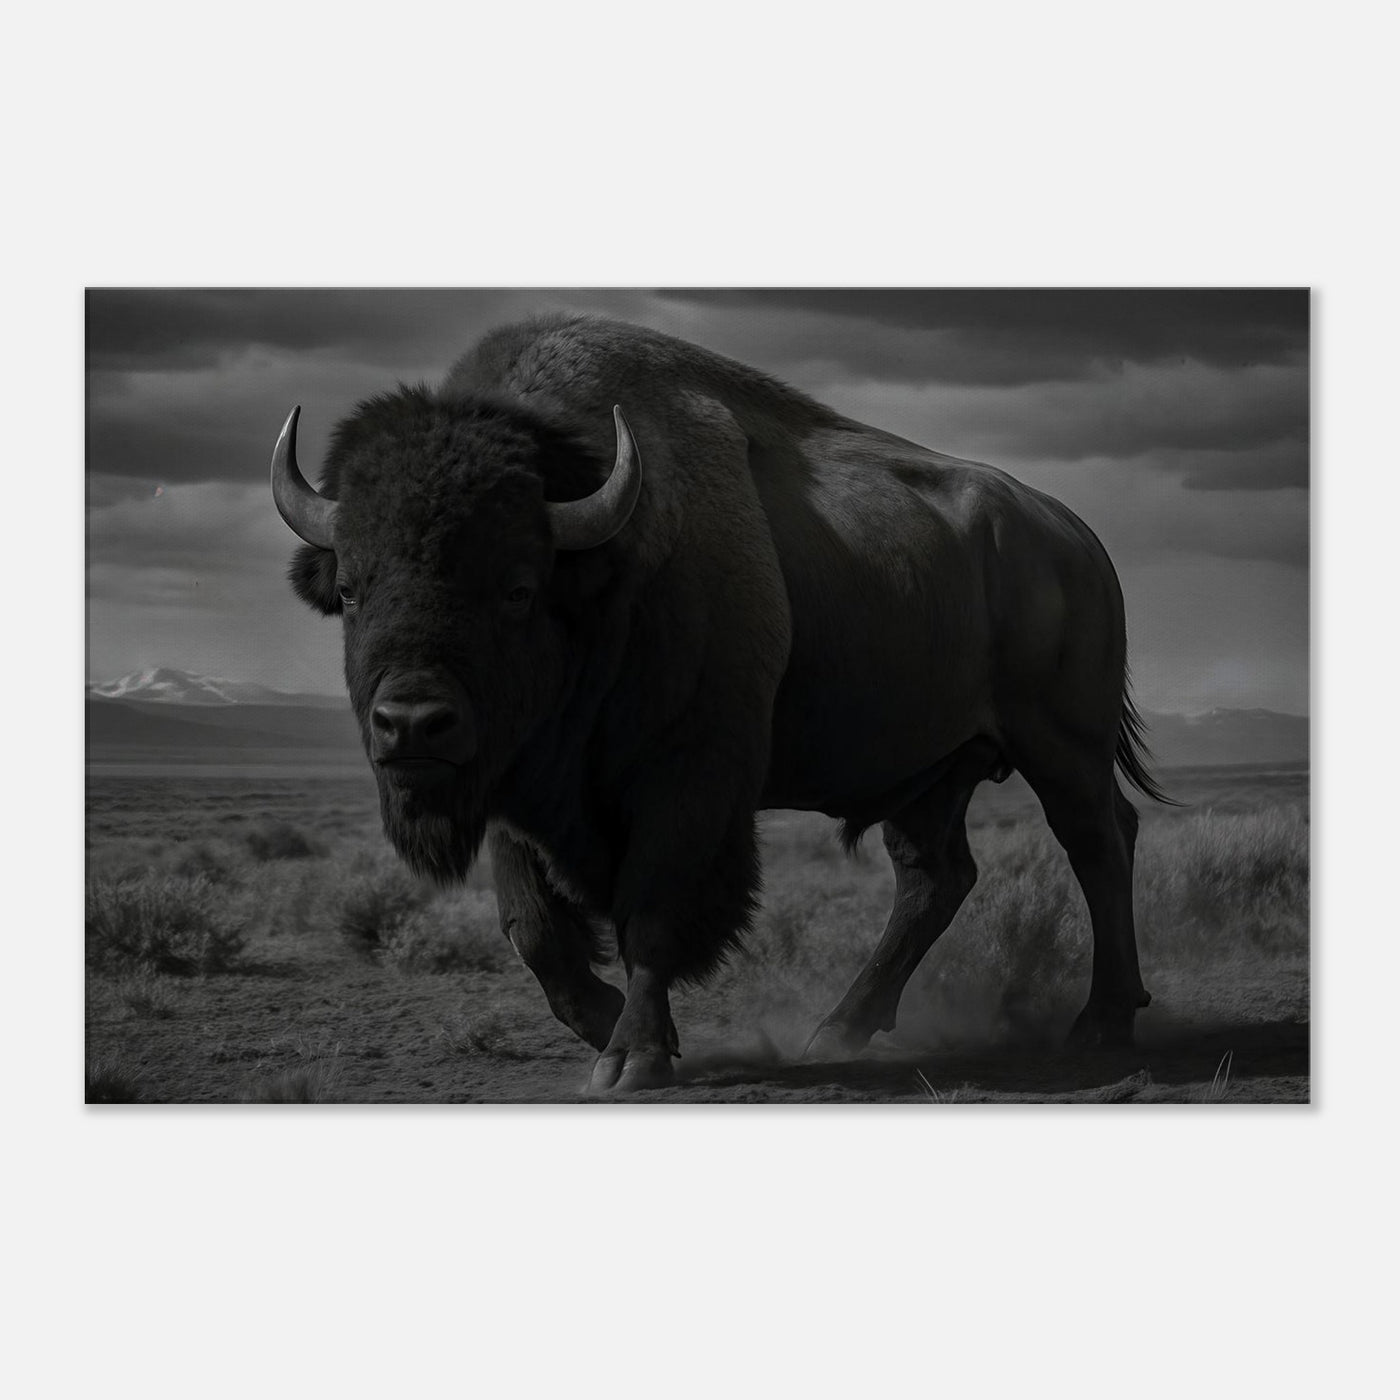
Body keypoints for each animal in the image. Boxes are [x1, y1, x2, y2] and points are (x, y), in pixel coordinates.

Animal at [272, 314, 1164, 1092]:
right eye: (350, 589)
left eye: (518, 587)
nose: (411, 725)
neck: (606, 572)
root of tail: (1077, 540)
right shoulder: (516, 787)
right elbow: (534, 931)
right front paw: (610, 1026)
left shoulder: (690, 779)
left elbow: (653, 911)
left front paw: (631, 1058)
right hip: (930, 771)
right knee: (935, 879)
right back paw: (835, 1031)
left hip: (1062, 747)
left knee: (1098, 842)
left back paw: (1100, 1023)